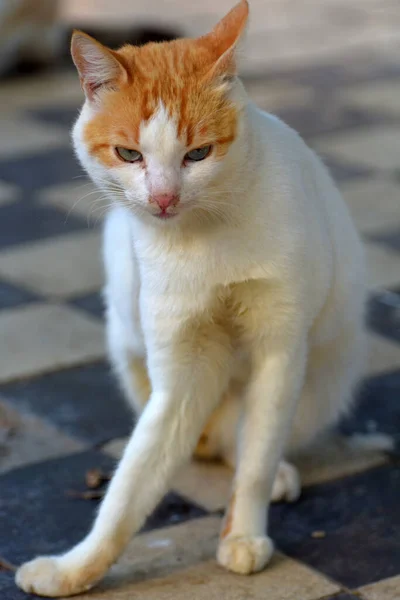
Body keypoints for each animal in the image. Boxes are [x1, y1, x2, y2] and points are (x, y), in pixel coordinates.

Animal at [15, 0, 366, 596]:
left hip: (325, 371)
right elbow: (129, 487)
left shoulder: (280, 348)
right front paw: (75, 568)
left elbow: (256, 458)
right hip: (125, 332)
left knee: (245, 438)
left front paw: (243, 534)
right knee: (199, 439)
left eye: (198, 154)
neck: (205, 235)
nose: (162, 198)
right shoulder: (181, 372)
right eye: (128, 153)